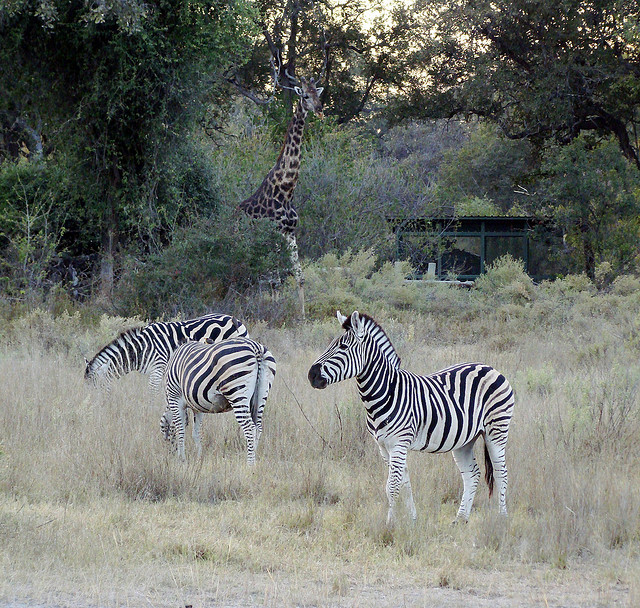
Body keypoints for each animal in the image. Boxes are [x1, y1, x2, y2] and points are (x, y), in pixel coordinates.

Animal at [84, 313, 248, 400]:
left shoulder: (158, 368)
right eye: (88, 388)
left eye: (97, 387)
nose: (96, 407)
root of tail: (235, 319)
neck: (140, 350)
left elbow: (153, 393)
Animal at [239, 76, 324, 319]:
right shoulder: (275, 231)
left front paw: (303, 316)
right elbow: (275, 280)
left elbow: (299, 277)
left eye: (318, 94)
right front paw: (275, 311)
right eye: (305, 95)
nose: (320, 109)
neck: (286, 190)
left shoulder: (290, 232)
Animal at [308, 311, 515, 526]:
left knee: (501, 473)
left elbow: (391, 486)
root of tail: (490, 368)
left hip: (496, 430)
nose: (311, 375)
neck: (387, 392)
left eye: (343, 347)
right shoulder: (384, 447)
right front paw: (412, 519)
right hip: (465, 440)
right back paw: (460, 519)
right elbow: (404, 482)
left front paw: (389, 524)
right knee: (472, 474)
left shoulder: (398, 444)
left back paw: (502, 519)